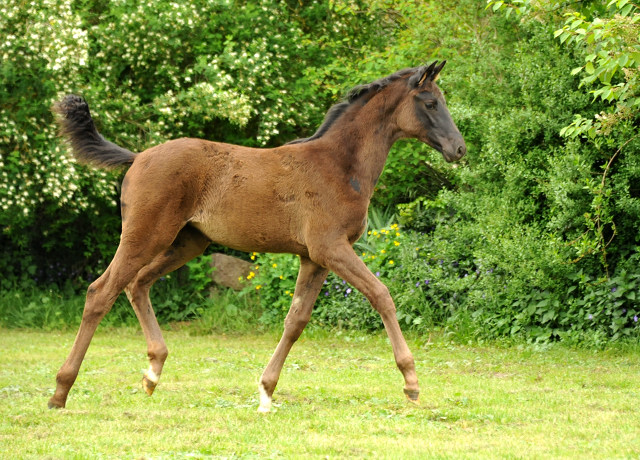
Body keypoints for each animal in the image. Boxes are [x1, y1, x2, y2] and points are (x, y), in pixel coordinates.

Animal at [48, 60, 464, 410]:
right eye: (430, 103)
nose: (458, 148)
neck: (340, 165)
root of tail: (137, 157)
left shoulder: (313, 257)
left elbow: (296, 321)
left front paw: (266, 389)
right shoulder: (331, 248)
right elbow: (382, 295)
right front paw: (411, 381)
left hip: (187, 242)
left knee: (137, 284)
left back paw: (152, 374)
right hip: (145, 235)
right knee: (101, 292)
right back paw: (61, 391)